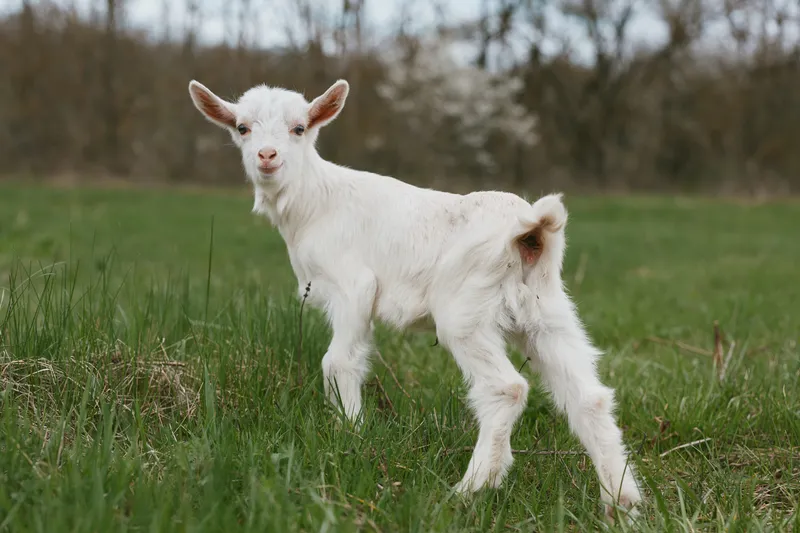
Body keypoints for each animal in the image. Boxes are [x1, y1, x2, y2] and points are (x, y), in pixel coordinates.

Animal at [188, 78, 642, 520]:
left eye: (299, 128)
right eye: (242, 128)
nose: (267, 156)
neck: (316, 200)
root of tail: (531, 232)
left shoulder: (353, 285)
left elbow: (338, 362)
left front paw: (351, 435)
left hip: (465, 312)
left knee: (506, 388)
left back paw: (469, 490)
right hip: (548, 313)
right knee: (589, 397)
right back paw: (622, 503)